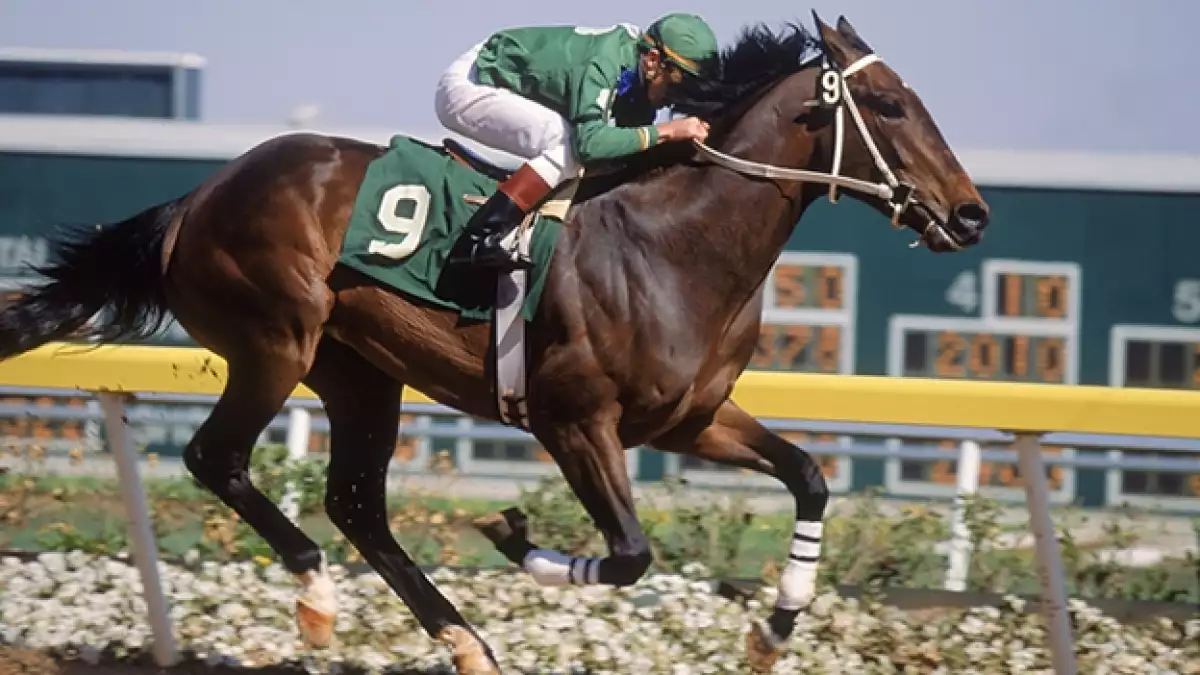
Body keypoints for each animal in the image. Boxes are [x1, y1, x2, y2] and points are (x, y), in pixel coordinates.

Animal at [0, 13, 988, 674]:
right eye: (889, 104)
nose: (972, 214)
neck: (674, 244)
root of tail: (199, 195)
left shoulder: (689, 420)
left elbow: (810, 475)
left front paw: (773, 626)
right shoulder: (572, 420)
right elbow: (630, 553)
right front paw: (513, 536)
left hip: (360, 374)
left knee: (356, 503)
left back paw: (463, 640)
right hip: (275, 339)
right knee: (219, 458)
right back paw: (318, 598)